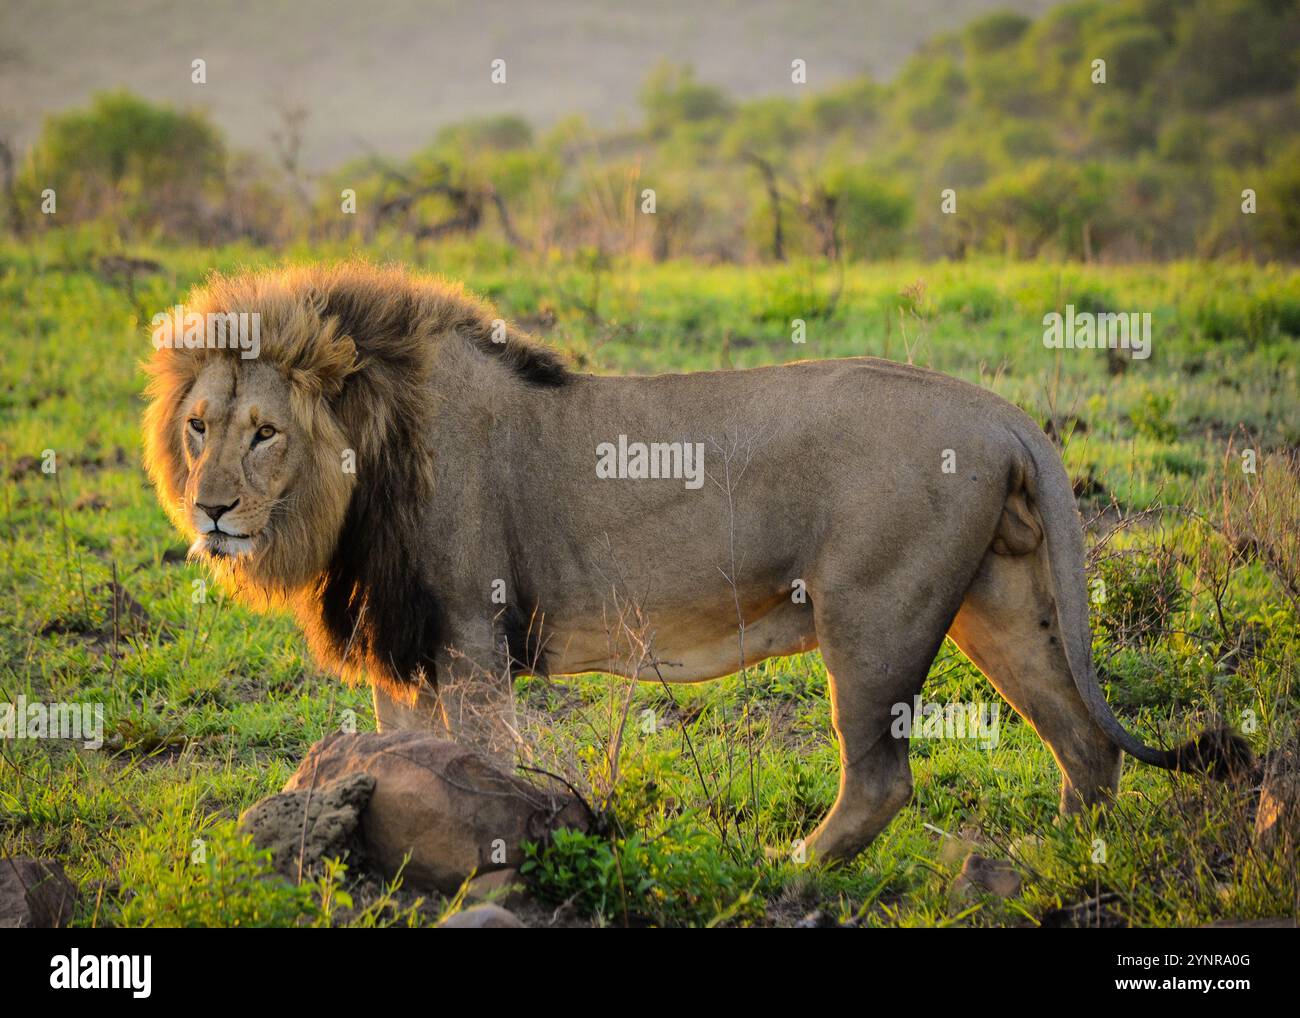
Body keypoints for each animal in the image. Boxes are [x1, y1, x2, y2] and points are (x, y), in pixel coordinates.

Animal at [143, 262, 1249, 862]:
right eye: (199, 427)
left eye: (264, 433)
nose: (212, 510)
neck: (362, 460)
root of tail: (1000, 410)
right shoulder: (402, 644)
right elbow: (399, 757)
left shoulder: (468, 635)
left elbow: (486, 764)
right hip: (1001, 602)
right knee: (1085, 741)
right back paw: (1054, 857)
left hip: (872, 617)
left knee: (882, 780)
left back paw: (791, 865)